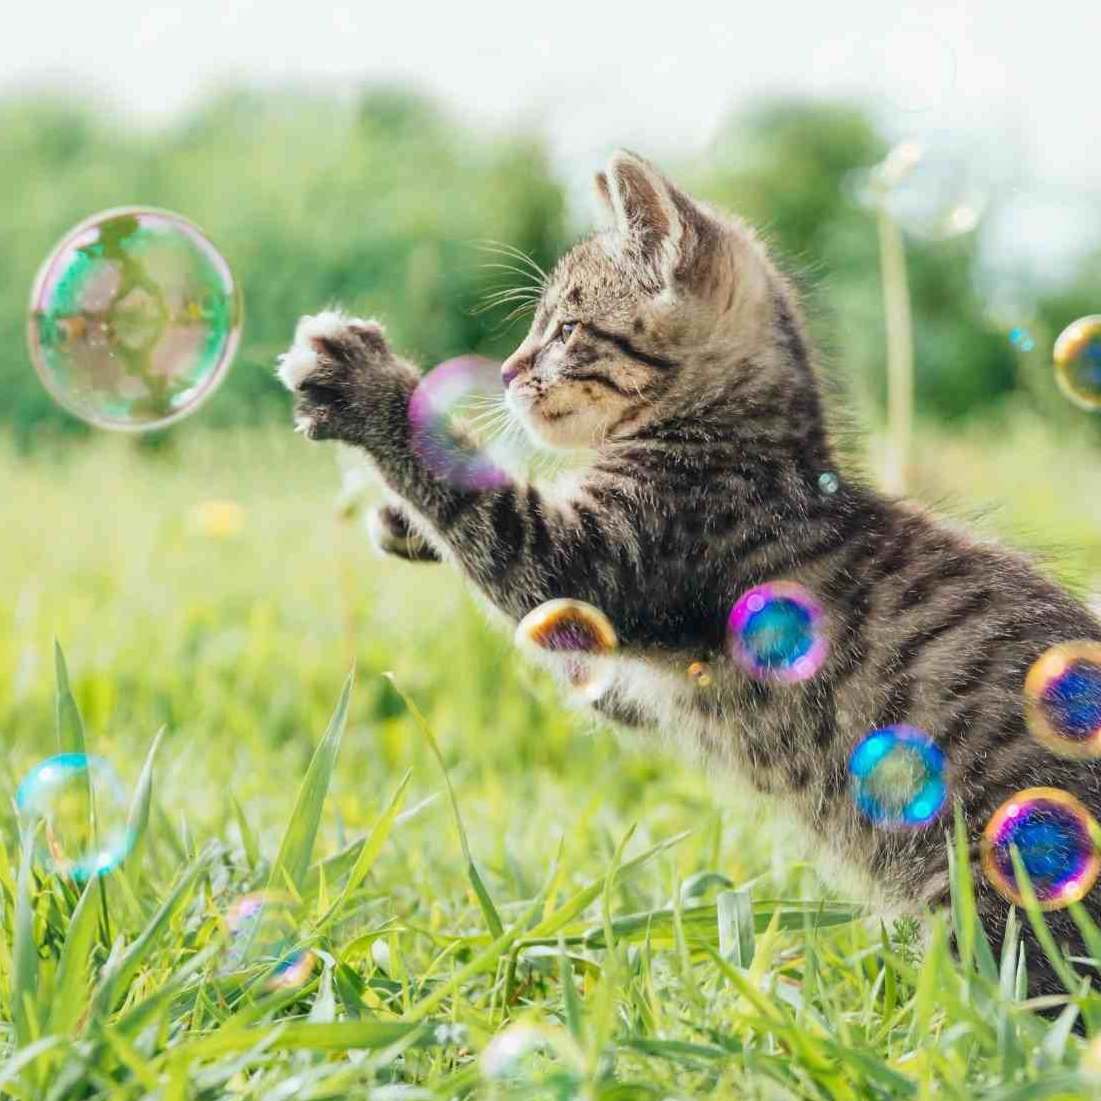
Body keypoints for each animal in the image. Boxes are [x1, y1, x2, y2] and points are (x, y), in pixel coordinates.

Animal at [279, 148, 1101, 999]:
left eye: (565, 329)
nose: (505, 371)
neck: (742, 443)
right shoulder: (633, 675)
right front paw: (404, 521)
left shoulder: (600, 564)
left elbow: (499, 524)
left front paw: (366, 386)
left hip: (1003, 874)